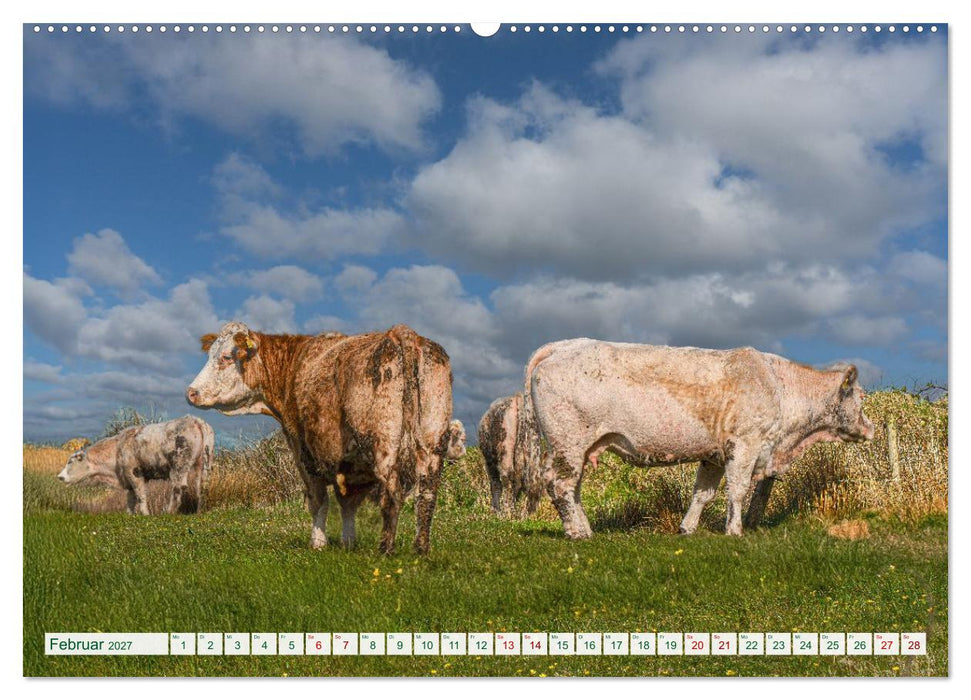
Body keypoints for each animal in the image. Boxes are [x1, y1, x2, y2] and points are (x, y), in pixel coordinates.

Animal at [57, 415, 214, 515]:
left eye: (70, 462)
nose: (60, 477)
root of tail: (195, 420)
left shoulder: (134, 472)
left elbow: (140, 495)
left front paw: (145, 514)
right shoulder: (127, 478)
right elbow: (131, 498)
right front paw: (130, 514)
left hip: (179, 465)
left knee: (178, 487)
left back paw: (168, 511)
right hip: (203, 464)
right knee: (201, 486)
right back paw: (198, 511)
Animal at [186, 322, 455, 555]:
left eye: (226, 357)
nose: (191, 392)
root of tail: (400, 333)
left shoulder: (303, 450)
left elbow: (318, 500)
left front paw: (317, 543)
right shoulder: (349, 464)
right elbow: (347, 501)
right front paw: (348, 542)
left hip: (383, 443)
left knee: (392, 493)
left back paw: (385, 551)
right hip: (432, 441)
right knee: (427, 496)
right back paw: (421, 550)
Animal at [526, 340, 874, 539]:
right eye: (861, 396)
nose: (870, 428)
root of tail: (564, 346)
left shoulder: (715, 455)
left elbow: (703, 494)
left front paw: (687, 529)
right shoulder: (746, 444)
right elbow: (738, 490)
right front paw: (735, 531)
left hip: (579, 448)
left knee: (572, 488)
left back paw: (585, 528)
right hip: (568, 442)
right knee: (560, 485)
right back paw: (576, 533)